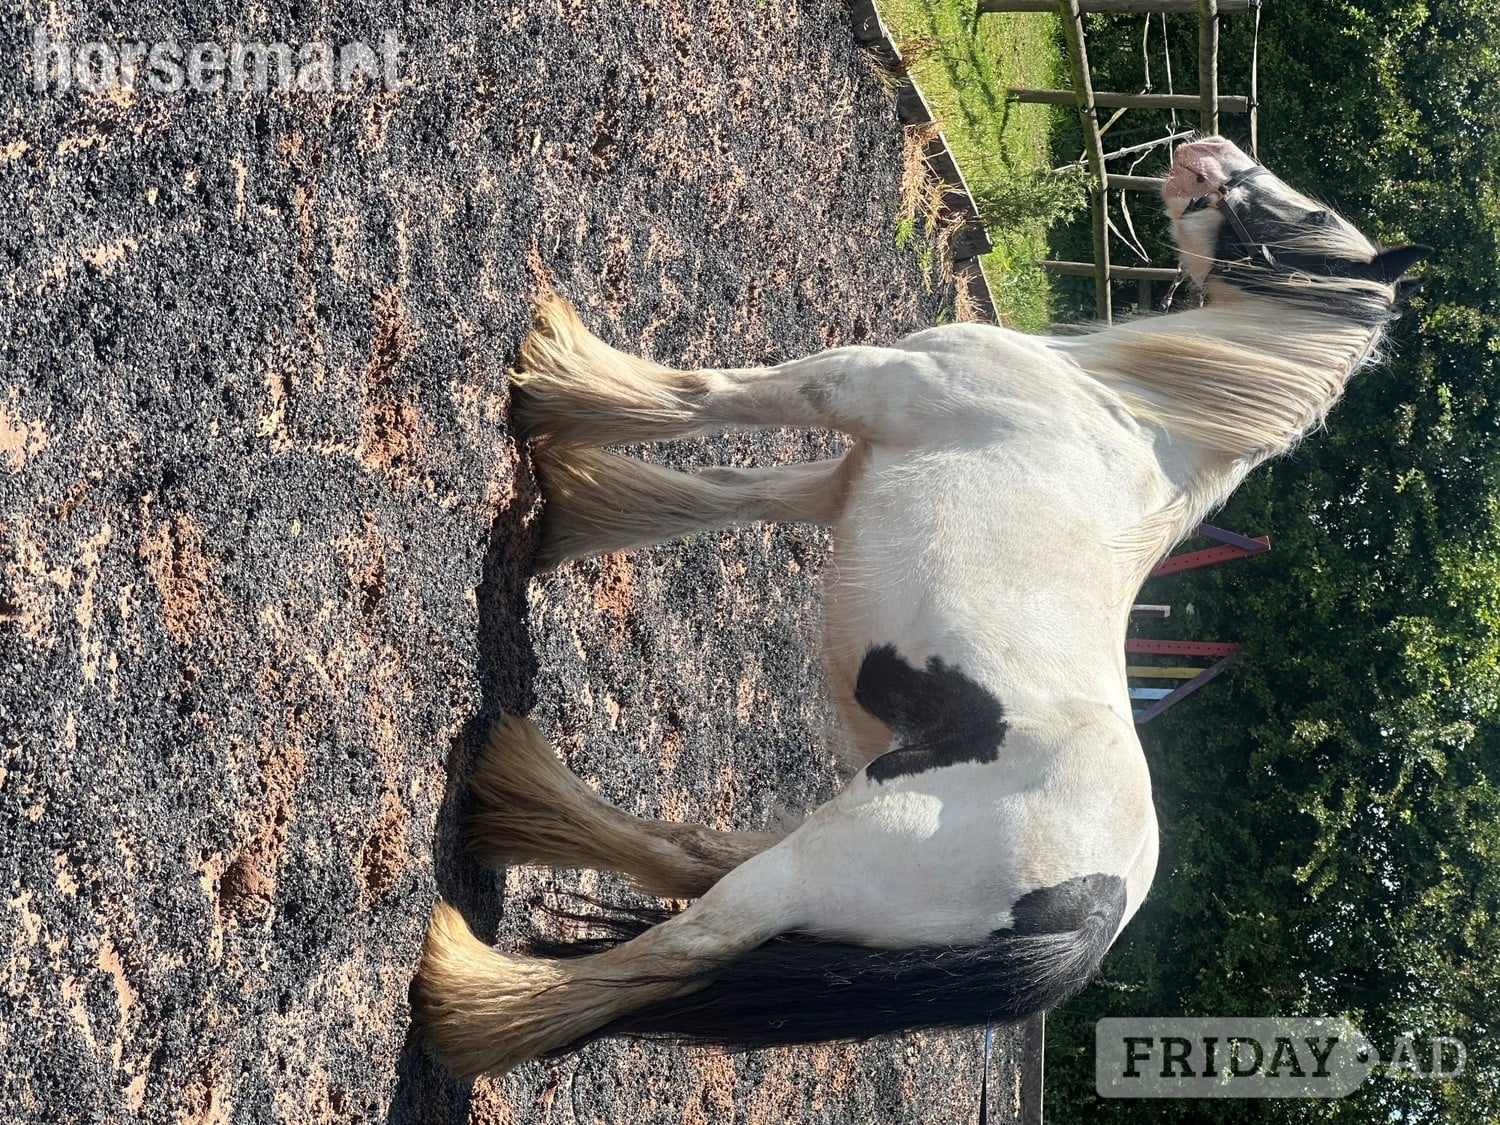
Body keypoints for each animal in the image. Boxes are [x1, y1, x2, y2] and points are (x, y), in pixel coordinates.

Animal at [412, 136, 1426, 1078]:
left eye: (1303, 219)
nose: (1206, 152)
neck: (1120, 408)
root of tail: (1092, 912)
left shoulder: (858, 384)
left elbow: (707, 398)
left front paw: (551, 380)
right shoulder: (845, 478)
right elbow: (719, 494)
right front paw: (570, 508)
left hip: (825, 865)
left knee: (681, 943)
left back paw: (467, 992)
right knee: (690, 855)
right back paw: (515, 798)